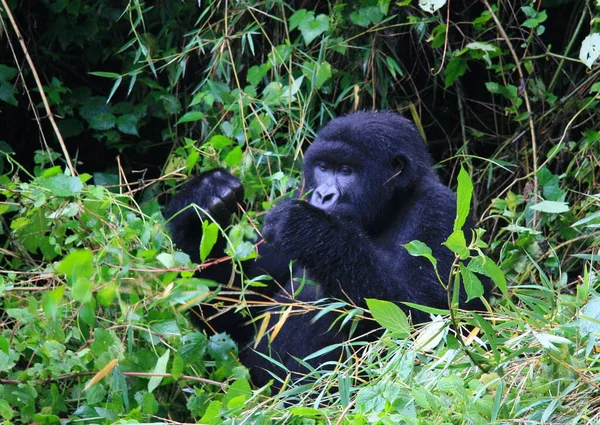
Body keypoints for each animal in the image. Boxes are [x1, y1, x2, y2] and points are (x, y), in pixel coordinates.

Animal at [164, 110, 488, 384]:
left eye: (346, 170)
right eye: (323, 167)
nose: (323, 195)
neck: (390, 209)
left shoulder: (441, 211)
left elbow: (429, 324)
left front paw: (310, 231)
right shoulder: (301, 191)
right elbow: (234, 315)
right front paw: (201, 200)